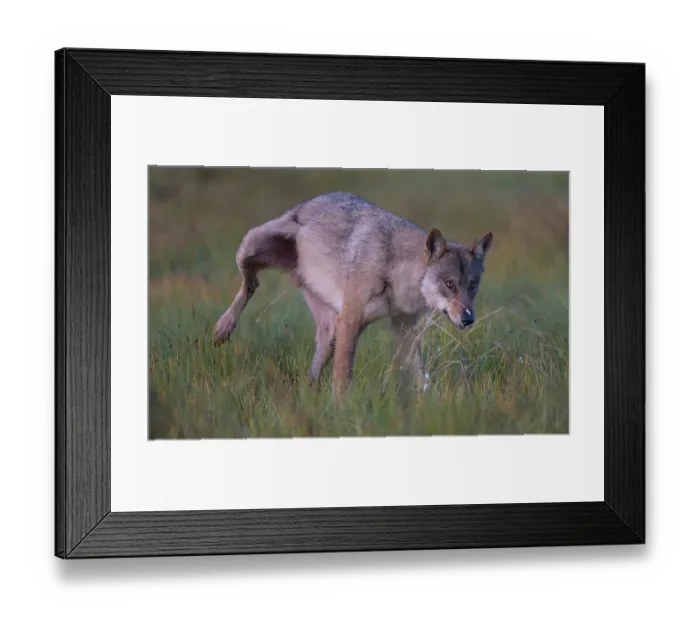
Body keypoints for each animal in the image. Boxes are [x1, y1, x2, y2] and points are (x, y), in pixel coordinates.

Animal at [213, 191, 493, 394]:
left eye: (473, 285)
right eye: (449, 284)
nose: (468, 319)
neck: (396, 271)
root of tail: (307, 203)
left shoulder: (405, 331)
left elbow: (422, 378)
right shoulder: (350, 322)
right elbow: (343, 378)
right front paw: (340, 411)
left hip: (330, 326)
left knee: (318, 356)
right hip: (249, 248)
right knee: (249, 285)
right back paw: (222, 328)